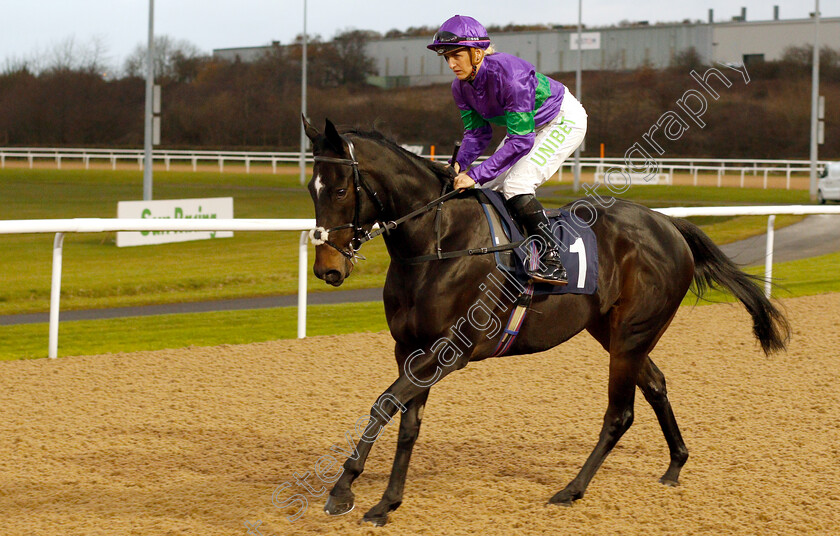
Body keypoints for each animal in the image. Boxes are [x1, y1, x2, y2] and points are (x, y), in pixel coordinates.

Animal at [300, 118, 788, 528]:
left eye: (340, 190)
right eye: (311, 187)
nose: (327, 268)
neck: (437, 243)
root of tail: (669, 225)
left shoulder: (450, 350)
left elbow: (384, 403)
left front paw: (343, 490)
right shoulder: (411, 348)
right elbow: (407, 421)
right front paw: (386, 502)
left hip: (632, 334)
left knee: (620, 413)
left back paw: (572, 489)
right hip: (615, 332)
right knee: (655, 384)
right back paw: (675, 464)